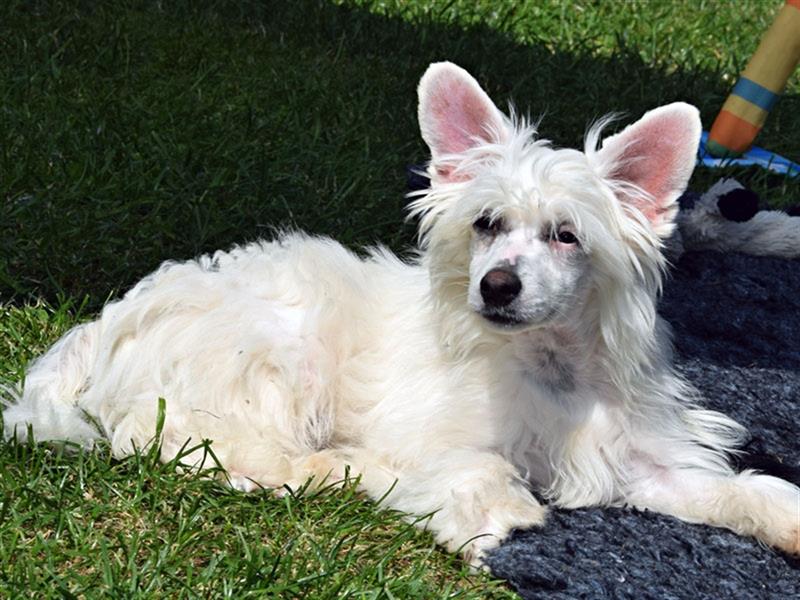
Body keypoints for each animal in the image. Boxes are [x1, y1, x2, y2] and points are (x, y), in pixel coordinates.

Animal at [3, 61, 796, 564]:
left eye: (566, 236)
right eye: (485, 225)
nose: (497, 286)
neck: (547, 368)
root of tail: (100, 324)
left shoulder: (646, 466)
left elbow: (739, 489)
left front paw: (784, 517)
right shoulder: (429, 433)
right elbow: (476, 466)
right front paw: (501, 518)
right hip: (274, 355)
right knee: (192, 443)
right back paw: (329, 467)